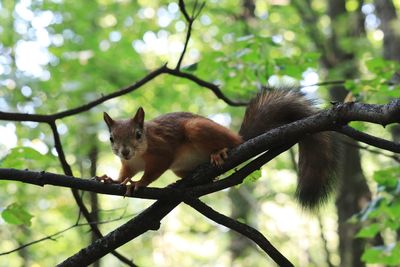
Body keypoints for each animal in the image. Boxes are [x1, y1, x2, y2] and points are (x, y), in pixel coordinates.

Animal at [98, 90, 336, 209]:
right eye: (111, 138)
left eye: (138, 134)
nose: (125, 151)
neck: (139, 155)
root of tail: (240, 137)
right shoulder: (128, 164)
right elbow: (124, 173)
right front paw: (112, 180)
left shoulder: (162, 150)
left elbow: (154, 169)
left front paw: (139, 183)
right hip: (180, 166)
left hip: (198, 129)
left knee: (229, 144)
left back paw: (219, 152)